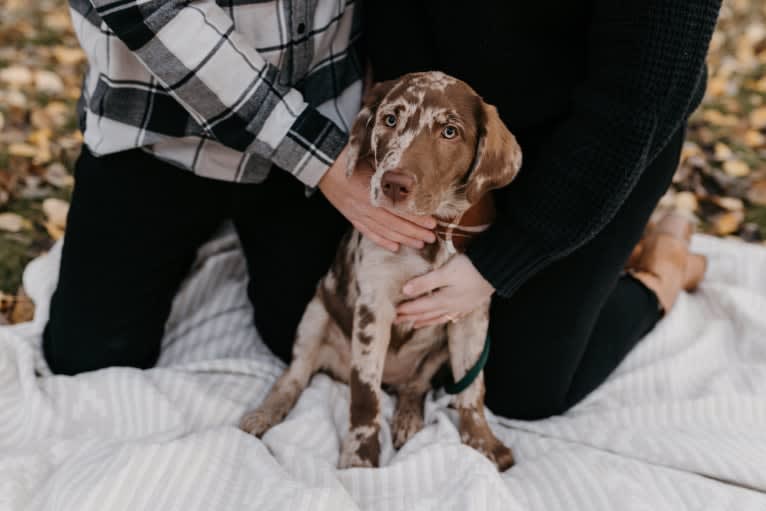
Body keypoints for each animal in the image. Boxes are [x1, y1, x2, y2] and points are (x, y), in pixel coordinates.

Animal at [243, 71, 524, 472]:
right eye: (390, 120)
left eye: (450, 132)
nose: (394, 183)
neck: (434, 234)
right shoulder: (373, 307)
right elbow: (365, 395)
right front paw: (360, 458)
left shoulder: (469, 310)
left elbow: (472, 388)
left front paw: (483, 443)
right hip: (315, 315)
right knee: (294, 376)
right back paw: (266, 413)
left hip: (435, 352)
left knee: (415, 386)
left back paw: (408, 417)